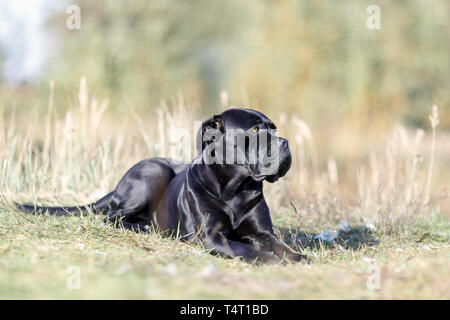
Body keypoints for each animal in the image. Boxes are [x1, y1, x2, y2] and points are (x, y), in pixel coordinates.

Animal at [18, 109, 306, 264]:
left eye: (274, 129)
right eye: (256, 131)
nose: (285, 142)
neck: (235, 187)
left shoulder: (263, 233)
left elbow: (281, 247)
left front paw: (297, 258)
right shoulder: (211, 236)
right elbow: (244, 248)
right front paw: (270, 260)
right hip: (153, 173)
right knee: (111, 217)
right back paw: (142, 227)